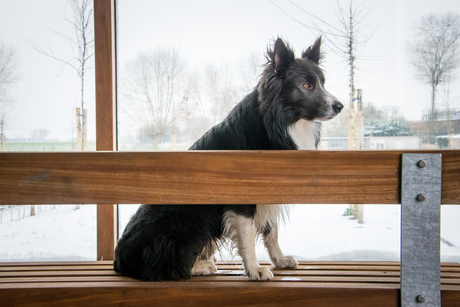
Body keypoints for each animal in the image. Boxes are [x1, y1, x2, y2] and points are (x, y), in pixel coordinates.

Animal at [113, 38, 344, 282]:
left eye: (323, 83)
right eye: (306, 85)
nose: (339, 106)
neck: (275, 123)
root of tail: (119, 260)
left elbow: (271, 232)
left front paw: (279, 260)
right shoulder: (242, 200)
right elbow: (248, 237)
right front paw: (254, 269)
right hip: (191, 222)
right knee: (166, 265)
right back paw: (201, 266)